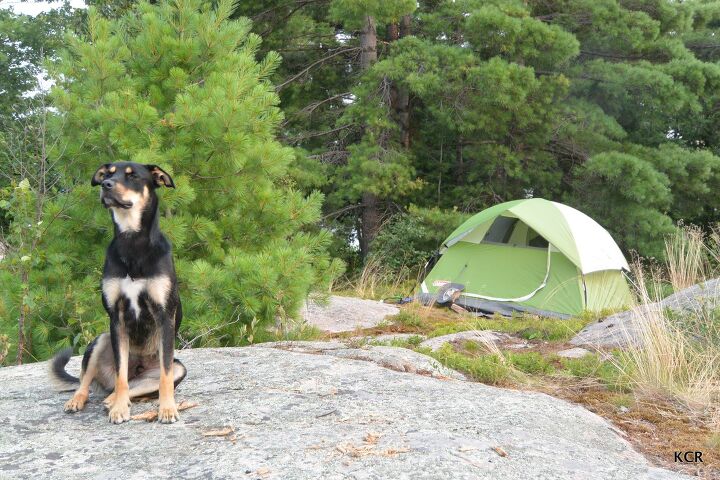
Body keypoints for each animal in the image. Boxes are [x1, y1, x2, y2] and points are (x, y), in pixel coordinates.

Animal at [50, 162, 186, 424]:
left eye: (133, 176)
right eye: (109, 173)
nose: (106, 185)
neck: (133, 245)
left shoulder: (165, 315)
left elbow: (164, 377)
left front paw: (167, 408)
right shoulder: (116, 318)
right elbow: (120, 376)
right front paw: (120, 408)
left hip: (178, 368)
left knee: (141, 384)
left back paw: (111, 400)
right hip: (101, 340)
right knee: (91, 381)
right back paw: (82, 400)